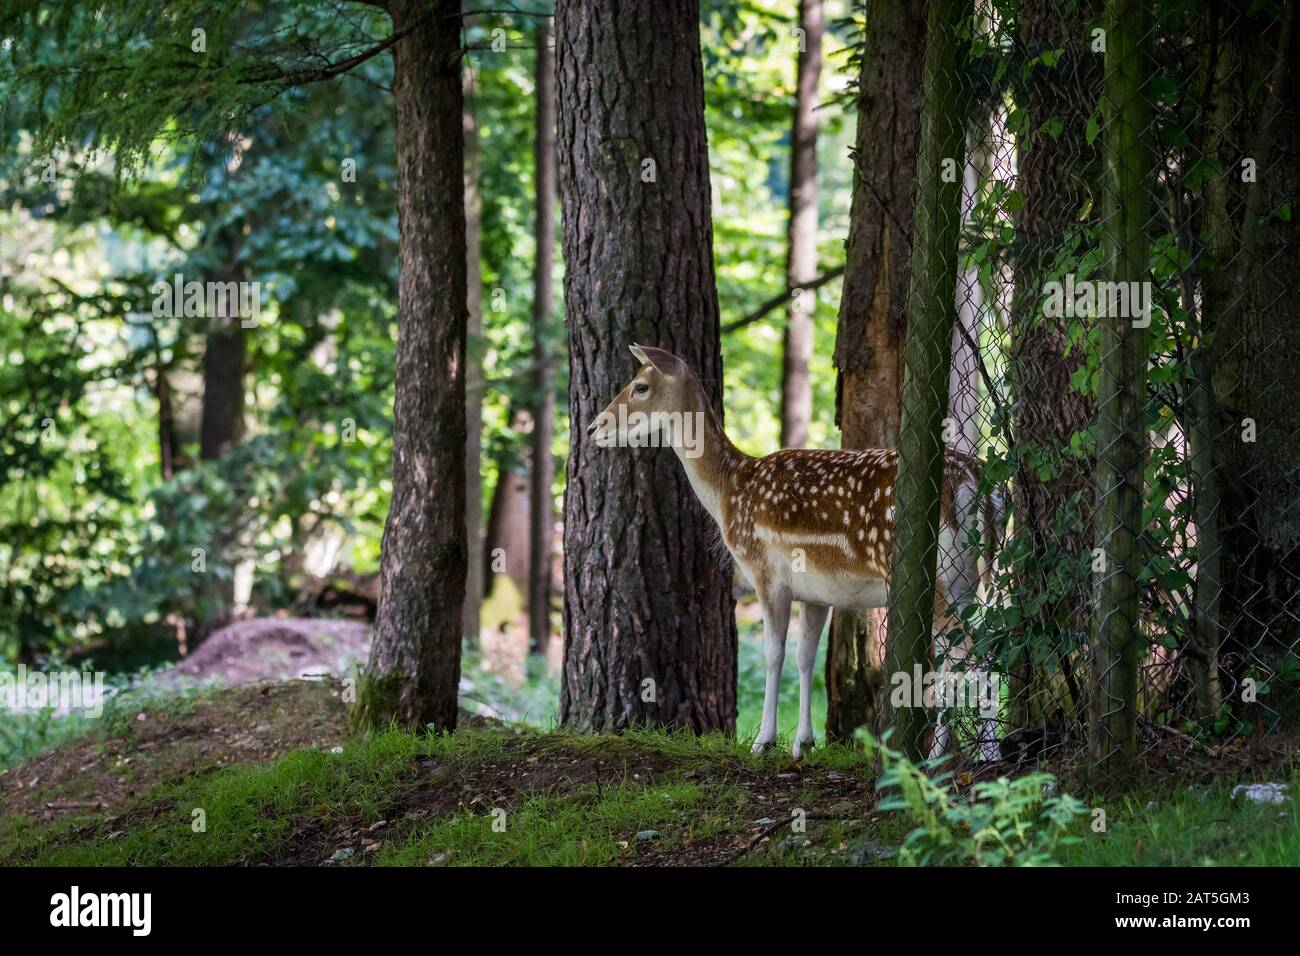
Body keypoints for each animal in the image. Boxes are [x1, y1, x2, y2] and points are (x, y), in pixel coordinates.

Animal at [588, 344, 1002, 762]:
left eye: (640, 386)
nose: (593, 428)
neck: (730, 492)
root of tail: (976, 483)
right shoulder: (816, 592)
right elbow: (806, 658)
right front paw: (804, 742)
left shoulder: (765, 573)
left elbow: (774, 654)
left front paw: (763, 741)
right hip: (976, 574)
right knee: (982, 646)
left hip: (936, 572)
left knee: (967, 654)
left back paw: (963, 757)